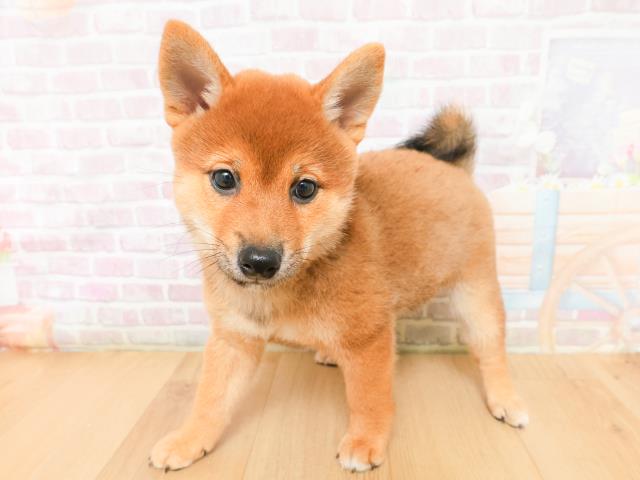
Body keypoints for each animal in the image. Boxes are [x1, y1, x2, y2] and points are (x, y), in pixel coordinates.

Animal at [149, 20, 529, 473]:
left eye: (305, 188)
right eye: (225, 179)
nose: (260, 261)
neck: (285, 293)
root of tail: (453, 168)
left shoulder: (370, 338)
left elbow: (370, 398)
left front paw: (365, 442)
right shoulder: (233, 339)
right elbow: (210, 399)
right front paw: (189, 440)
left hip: (475, 295)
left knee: (492, 351)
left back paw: (505, 399)